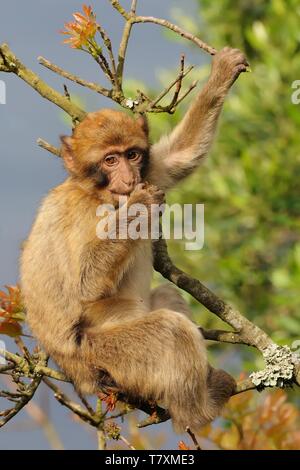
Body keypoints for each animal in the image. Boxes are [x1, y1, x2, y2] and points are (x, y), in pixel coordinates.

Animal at [19, 46, 247, 432]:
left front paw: (222, 74)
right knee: (169, 331)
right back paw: (198, 409)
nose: (127, 179)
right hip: (108, 355)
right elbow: (85, 283)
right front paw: (140, 206)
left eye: (133, 155)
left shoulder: (150, 171)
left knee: (168, 296)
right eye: (110, 160)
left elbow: (179, 159)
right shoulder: (81, 213)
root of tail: (81, 376)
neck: (99, 194)